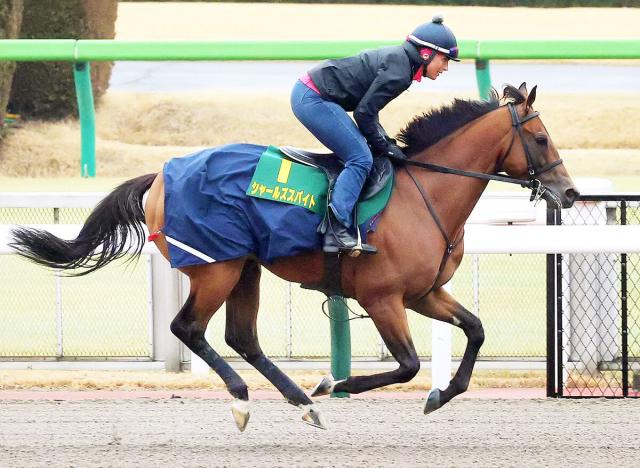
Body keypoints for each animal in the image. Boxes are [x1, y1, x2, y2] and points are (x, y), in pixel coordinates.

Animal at [10, 83, 580, 432]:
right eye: (540, 137)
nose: (570, 193)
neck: (425, 195)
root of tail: (160, 177)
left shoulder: (423, 292)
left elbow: (476, 330)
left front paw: (441, 394)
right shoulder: (381, 297)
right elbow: (407, 365)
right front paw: (334, 382)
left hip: (244, 268)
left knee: (241, 336)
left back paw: (300, 404)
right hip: (216, 267)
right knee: (188, 328)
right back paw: (248, 398)